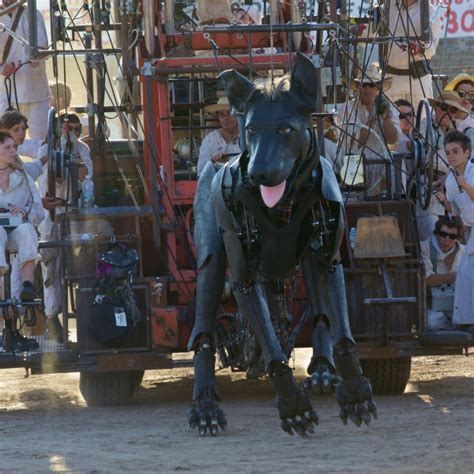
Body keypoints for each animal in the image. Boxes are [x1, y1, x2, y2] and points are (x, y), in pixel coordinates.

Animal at [187, 53, 376, 436]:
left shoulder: (328, 261)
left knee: (319, 311)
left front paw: (354, 391)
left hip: (307, 262)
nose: (258, 172)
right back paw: (205, 406)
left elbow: (343, 334)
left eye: (286, 129)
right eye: (251, 129)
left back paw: (322, 369)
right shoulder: (245, 281)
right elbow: (272, 349)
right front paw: (292, 406)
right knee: (203, 330)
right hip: (211, 259)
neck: (282, 207)